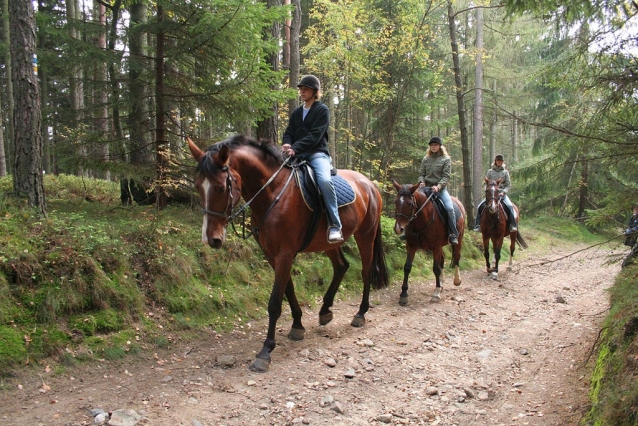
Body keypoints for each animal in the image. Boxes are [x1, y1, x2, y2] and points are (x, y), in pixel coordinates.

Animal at [189, 135, 390, 372]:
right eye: (198, 187)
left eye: (220, 188)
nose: (211, 239)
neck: (273, 193)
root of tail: (370, 184)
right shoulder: (272, 254)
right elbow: (289, 289)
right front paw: (297, 325)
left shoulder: (284, 253)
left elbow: (275, 302)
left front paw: (265, 351)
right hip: (329, 243)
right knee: (342, 266)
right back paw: (325, 311)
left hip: (365, 235)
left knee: (366, 272)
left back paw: (360, 313)